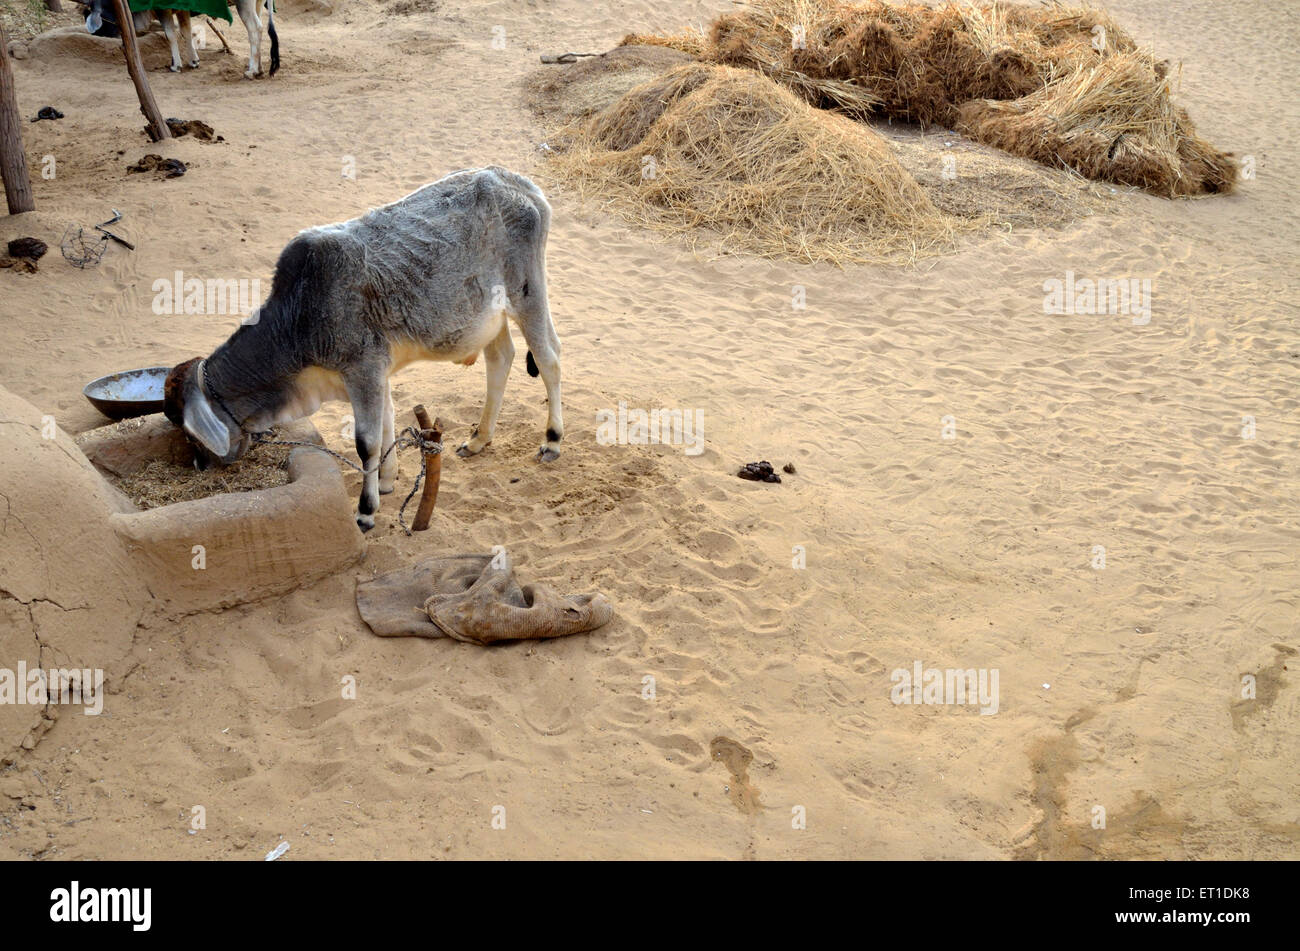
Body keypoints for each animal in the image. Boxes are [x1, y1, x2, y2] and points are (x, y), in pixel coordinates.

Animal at [163, 167, 564, 530]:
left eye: (190, 433)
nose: (199, 465)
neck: (296, 320)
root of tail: (518, 182)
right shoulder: (376, 372)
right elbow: (387, 421)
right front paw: (387, 480)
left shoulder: (363, 370)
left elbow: (366, 443)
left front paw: (366, 509)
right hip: (489, 318)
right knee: (501, 359)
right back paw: (479, 439)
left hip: (527, 295)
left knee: (549, 360)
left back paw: (552, 440)